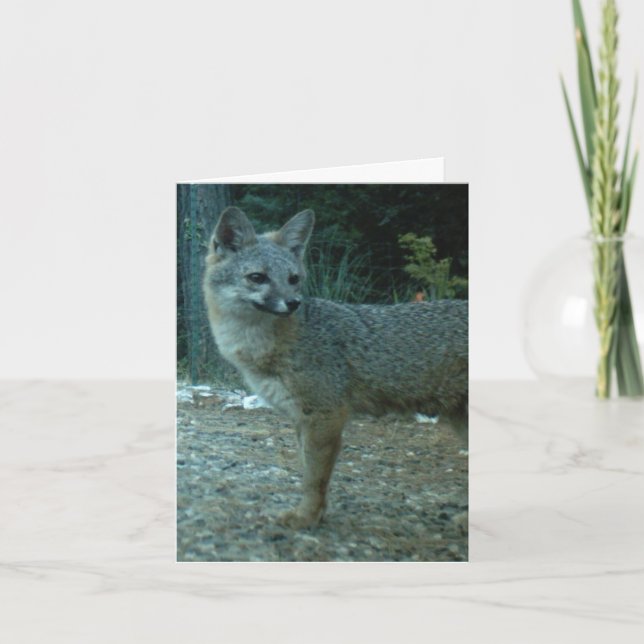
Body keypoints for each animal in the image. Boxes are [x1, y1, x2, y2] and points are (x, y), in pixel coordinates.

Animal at [203, 206, 468, 529]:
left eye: (293, 278)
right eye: (258, 277)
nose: (293, 302)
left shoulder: (326, 415)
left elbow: (313, 478)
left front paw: (305, 516)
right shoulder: (301, 418)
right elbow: (307, 469)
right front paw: (317, 513)